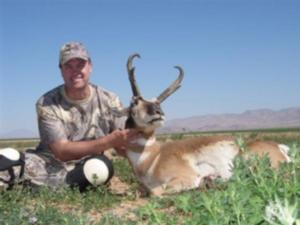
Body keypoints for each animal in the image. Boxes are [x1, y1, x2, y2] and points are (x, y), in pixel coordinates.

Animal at [120, 53, 290, 196]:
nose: (159, 111)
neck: (153, 157)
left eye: (158, 102)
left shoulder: (186, 177)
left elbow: (155, 192)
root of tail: (278, 147)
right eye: (134, 102)